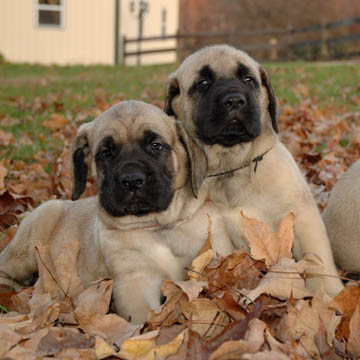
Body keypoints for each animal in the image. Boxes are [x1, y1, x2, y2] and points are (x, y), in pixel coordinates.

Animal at [0, 100, 233, 324]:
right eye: (106, 153)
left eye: (156, 145)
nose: (132, 180)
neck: (160, 225)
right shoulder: (134, 280)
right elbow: (144, 316)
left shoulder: (215, 255)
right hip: (32, 239)